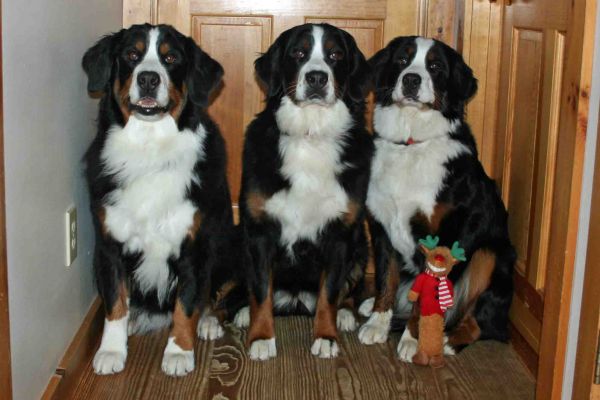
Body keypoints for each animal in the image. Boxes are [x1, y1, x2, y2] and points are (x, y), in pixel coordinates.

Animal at [82, 24, 241, 376]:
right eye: (131, 55)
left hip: (228, 244)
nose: (148, 79)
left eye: (170, 58)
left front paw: (179, 352)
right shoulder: (109, 245)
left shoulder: (194, 245)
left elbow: (186, 302)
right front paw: (111, 350)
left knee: (216, 295)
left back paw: (208, 322)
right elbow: (115, 302)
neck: (149, 149)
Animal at [232, 22, 372, 360]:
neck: (311, 133)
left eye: (335, 55)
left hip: (360, 245)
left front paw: (326, 336)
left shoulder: (339, 234)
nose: (317, 77)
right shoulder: (259, 231)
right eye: (298, 53)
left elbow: (329, 292)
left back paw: (345, 314)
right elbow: (260, 290)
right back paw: (241, 312)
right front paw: (261, 337)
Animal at [356, 37, 516, 360]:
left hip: (491, 254)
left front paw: (414, 340)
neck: (410, 143)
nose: (411, 80)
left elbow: (428, 294)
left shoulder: (445, 237)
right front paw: (378, 323)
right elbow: (386, 277)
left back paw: (448, 340)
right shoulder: (381, 226)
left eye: (435, 66)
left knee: (482, 323)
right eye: (402, 60)